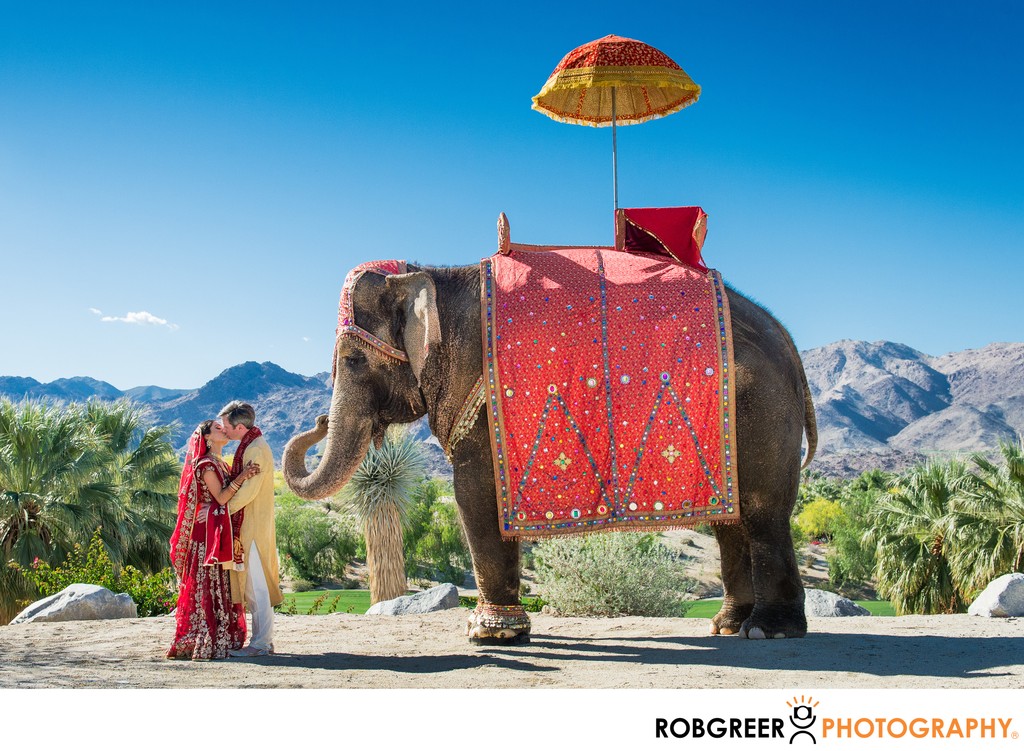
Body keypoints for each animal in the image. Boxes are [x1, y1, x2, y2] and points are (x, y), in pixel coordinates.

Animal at [284, 211, 819, 643]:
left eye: (353, 360)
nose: (319, 420)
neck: (433, 273)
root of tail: (789, 342)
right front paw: (500, 630)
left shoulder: (479, 391)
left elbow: (474, 494)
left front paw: (489, 636)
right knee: (731, 523)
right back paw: (728, 627)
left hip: (762, 411)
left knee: (763, 511)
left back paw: (768, 631)